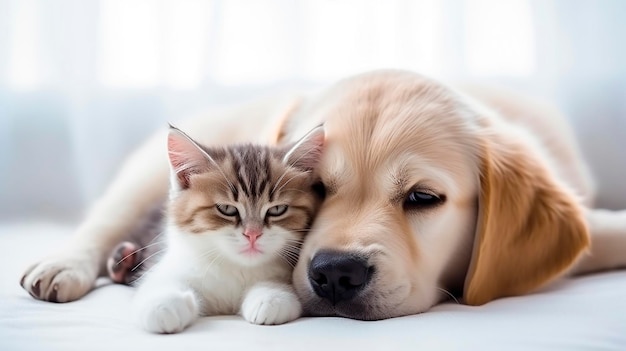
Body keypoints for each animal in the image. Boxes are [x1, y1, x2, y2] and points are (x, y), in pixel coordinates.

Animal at [116, 125, 326, 334]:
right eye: (226, 209)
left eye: (277, 209)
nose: (253, 234)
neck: (235, 267)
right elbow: (159, 282)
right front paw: (164, 304)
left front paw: (271, 297)